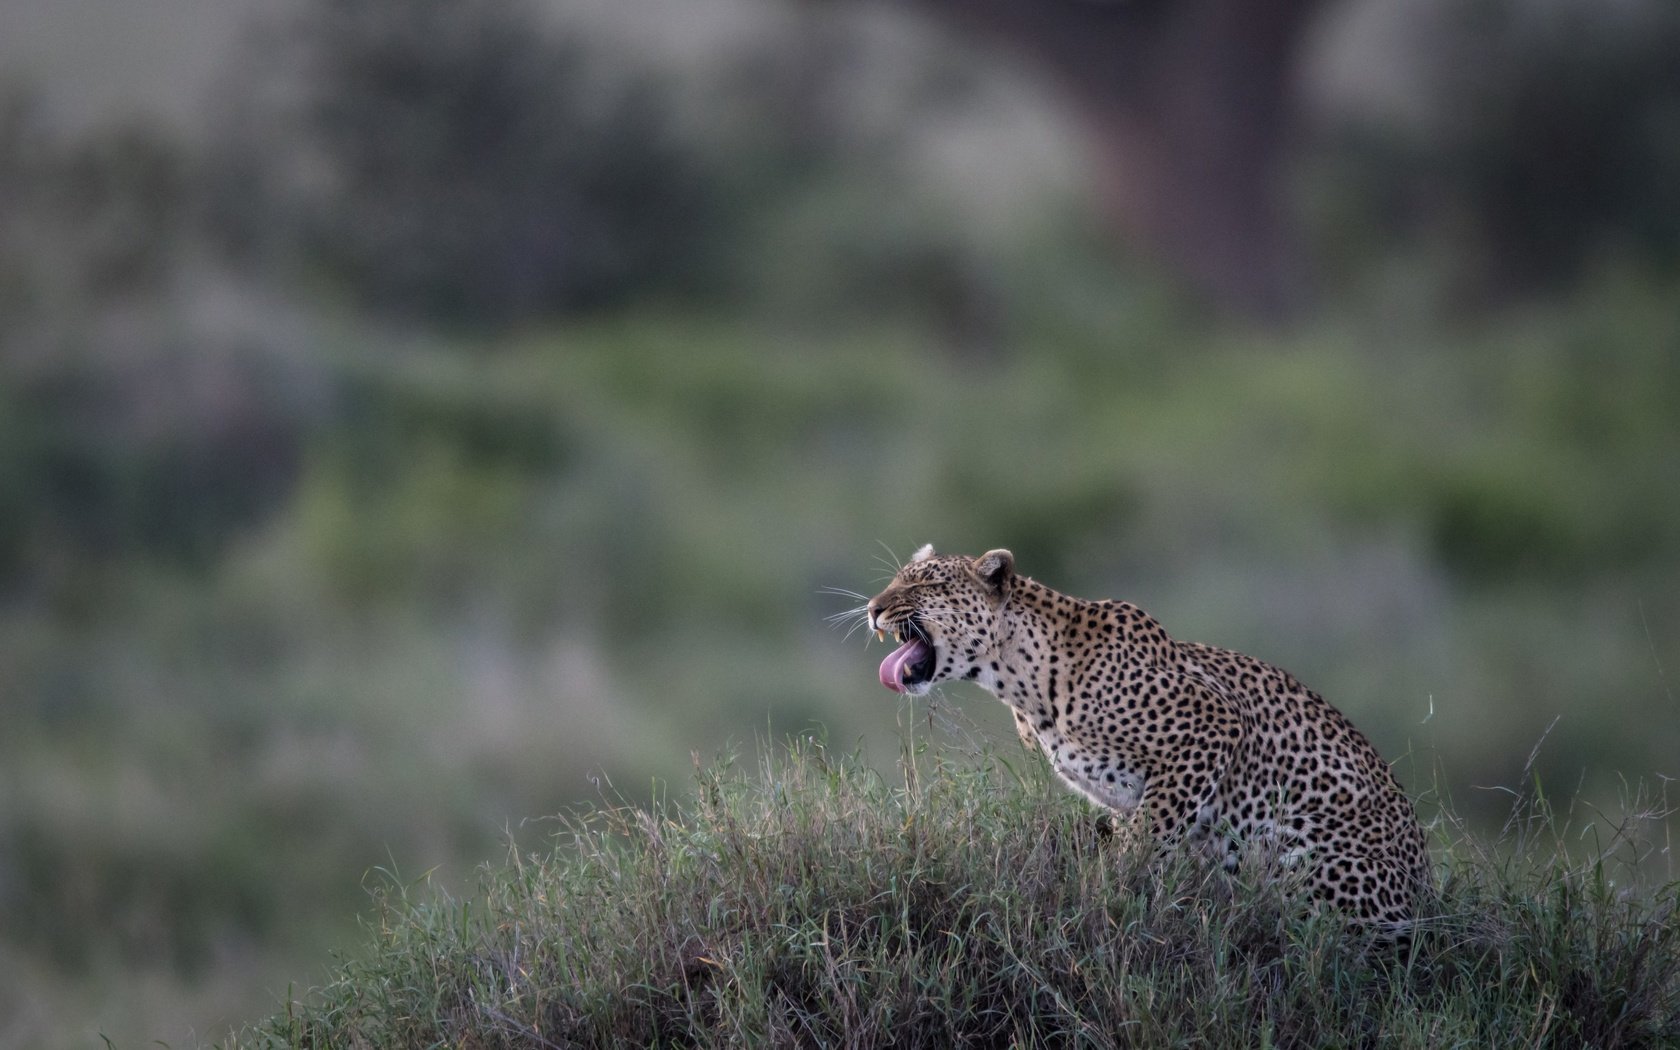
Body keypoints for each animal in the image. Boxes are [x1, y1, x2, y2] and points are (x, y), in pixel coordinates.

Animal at [866, 540, 1431, 927]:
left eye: (923, 586)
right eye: (895, 580)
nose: (873, 608)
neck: (1022, 682)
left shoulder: (1211, 724)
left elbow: (1143, 842)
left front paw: (1108, 898)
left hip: (1307, 857)